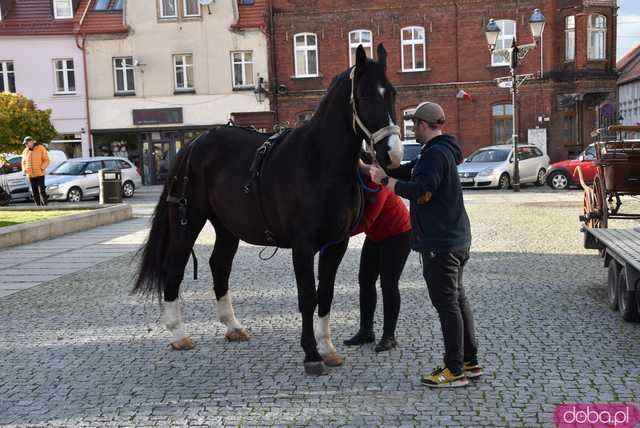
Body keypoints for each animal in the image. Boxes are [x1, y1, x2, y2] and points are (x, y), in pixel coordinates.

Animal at [134, 44, 402, 374]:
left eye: (392, 94)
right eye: (364, 96)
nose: (393, 154)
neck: (320, 163)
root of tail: (194, 143)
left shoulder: (335, 245)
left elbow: (325, 295)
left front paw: (328, 349)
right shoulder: (303, 246)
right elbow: (307, 297)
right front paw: (311, 354)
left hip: (227, 227)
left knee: (219, 265)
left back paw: (233, 327)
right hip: (189, 222)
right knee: (175, 267)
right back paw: (178, 334)